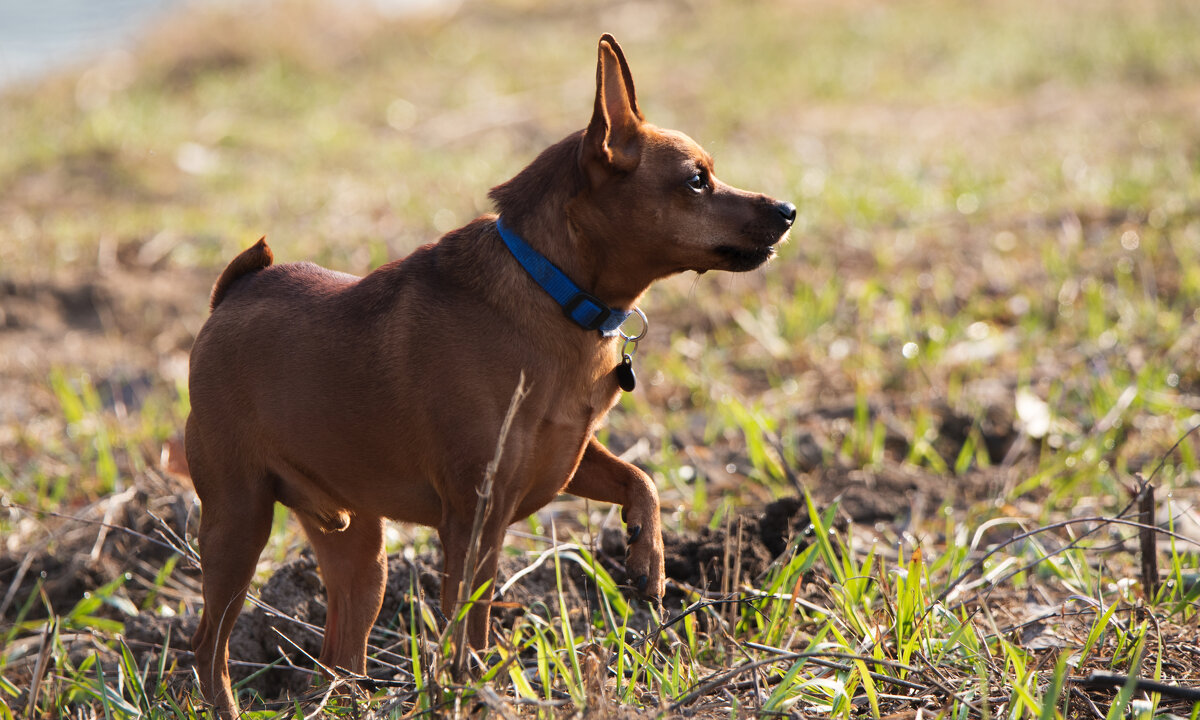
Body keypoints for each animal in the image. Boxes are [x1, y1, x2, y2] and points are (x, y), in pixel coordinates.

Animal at [184, 32, 787, 715]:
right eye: (696, 181)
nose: (789, 210)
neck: (553, 291)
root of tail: (234, 294)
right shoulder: (473, 517)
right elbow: (466, 623)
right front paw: (469, 686)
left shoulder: (567, 458)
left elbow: (642, 479)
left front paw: (649, 557)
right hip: (238, 521)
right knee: (208, 646)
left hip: (360, 551)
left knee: (339, 652)